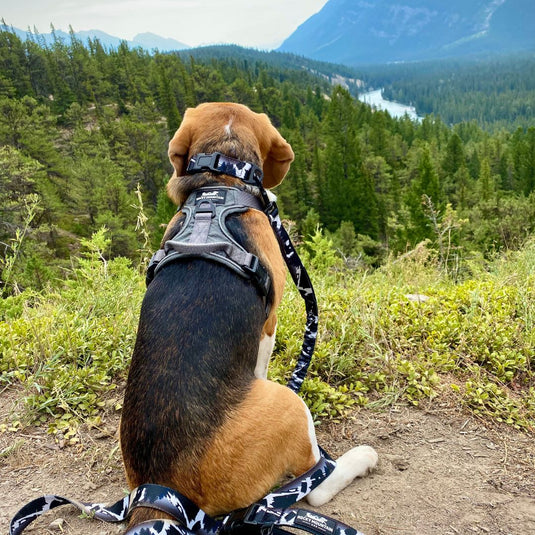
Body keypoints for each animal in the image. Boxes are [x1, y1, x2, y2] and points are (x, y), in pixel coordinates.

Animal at [119, 102, 376, 528]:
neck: (221, 176)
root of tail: (165, 486)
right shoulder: (268, 323)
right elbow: (262, 359)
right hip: (289, 409)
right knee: (314, 485)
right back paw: (359, 460)